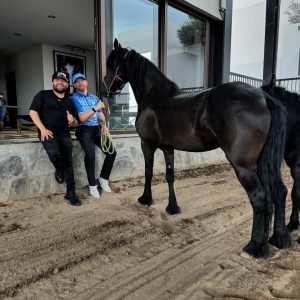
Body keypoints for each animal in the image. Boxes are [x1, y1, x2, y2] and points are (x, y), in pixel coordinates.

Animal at [102, 39, 290, 258]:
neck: (155, 98)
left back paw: (255, 247)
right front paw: (172, 207)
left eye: (112, 64)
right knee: (279, 191)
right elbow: (170, 176)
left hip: (244, 166)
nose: (104, 90)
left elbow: (148, 172)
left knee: (258, 197)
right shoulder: (168, 148)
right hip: (265, 162)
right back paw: (280, 239)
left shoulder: (147, 144)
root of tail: (264, 97)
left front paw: (145, 199)